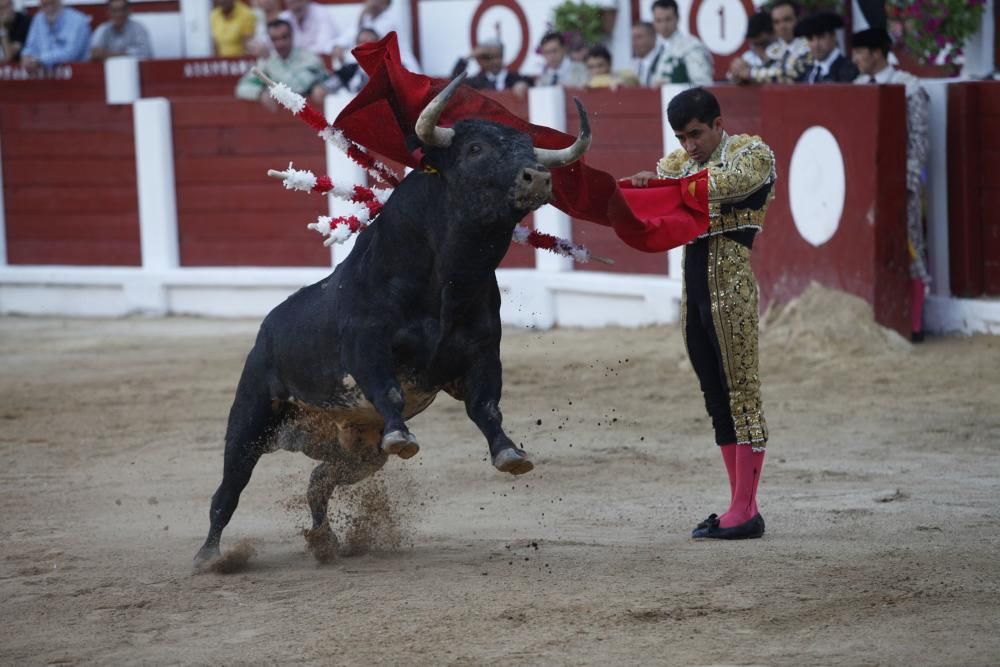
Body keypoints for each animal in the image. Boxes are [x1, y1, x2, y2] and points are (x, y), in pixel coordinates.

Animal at [195, 78, 592, 568]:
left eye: (526, 149)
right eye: (475, 148)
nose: (537, 176)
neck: (448, 282)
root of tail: (267, 328)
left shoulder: (483, 353)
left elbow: (486, 407)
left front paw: (509, 453)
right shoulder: (367, 347)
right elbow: (390, 391)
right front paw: (403, 435)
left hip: (361, 454)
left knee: (320, 479)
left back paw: (325, 542)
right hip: (250, 417)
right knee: (228, 488)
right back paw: (210, 556)